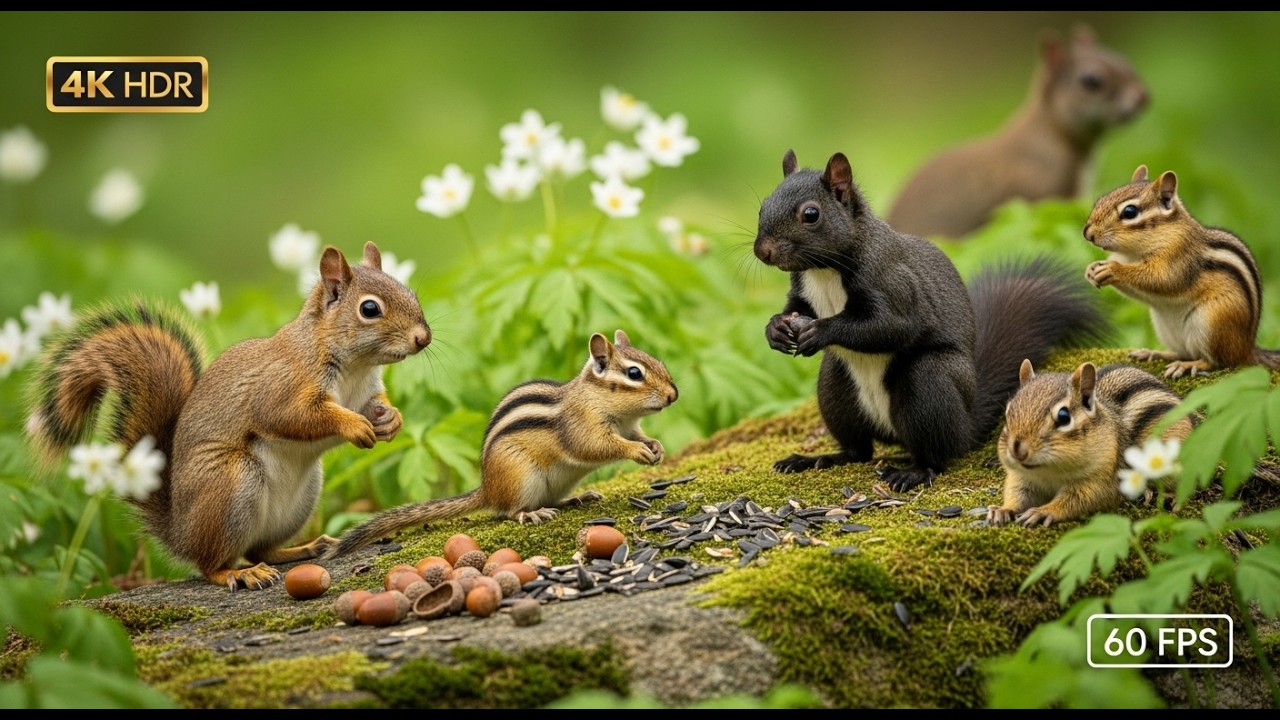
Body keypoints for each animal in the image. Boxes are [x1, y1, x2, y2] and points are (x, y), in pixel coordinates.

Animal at [25, 241, 431, 591]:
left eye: (411, 293)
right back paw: (238, 574)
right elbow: (292, 417)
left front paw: (391, 420)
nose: (423, 338)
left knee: (259, 549)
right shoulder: (279, 387)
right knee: (212, 563)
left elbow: (376, 405)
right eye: (369, 309)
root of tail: (179, 531)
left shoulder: (366, 391)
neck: (355, 368)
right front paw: (354, 425)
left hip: (301, 498)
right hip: (231, 484)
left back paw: (301, 548)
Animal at [322, 329, 677, 560]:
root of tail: (488, 488)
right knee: (508, 511)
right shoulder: (581, 426)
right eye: (634, 373)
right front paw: (636, 452)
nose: (674, 395)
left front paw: (655, 446)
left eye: (659, 363)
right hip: (521, 478)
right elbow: (596, 447)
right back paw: (530, 515)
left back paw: (577, 498)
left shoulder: (630, 426)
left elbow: (638, 435)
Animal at [755, 149, 1110, 492]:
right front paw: (775, 329)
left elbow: (891, 326)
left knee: (937, 454)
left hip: (929, 385)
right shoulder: (803, 293)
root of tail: (966, 422)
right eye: (762, 207)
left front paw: (820, 331)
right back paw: (818, 459)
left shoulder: (894, 283)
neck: (824, 271)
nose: (763, 251)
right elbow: (794, 308)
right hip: (835, 389)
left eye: (810, 214)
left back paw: (912, 472)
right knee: (858, 450)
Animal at [988, 359, 1195, 527]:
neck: (1049, 473)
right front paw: (1003, 509)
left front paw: (1043, 511)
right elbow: (1017, 494)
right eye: (1008, 413)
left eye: (1064, 416)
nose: (1018, 450)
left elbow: (1078, 501)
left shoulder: (1101, 480)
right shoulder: (1021, 478)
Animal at [1084, 164, 1280, 379]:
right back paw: (1155, 353)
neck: (1133, 254)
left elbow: (1163, 279)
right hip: (1166, 329)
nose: (1087, 233)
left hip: (1212, 323)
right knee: (1184, 352)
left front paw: (1113, 269)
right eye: (1100, 200)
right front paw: (1091, 269)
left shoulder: (1179, 258)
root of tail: (1248, 347)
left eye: (1129, 212)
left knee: (1218, 361)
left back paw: (1187, 365)